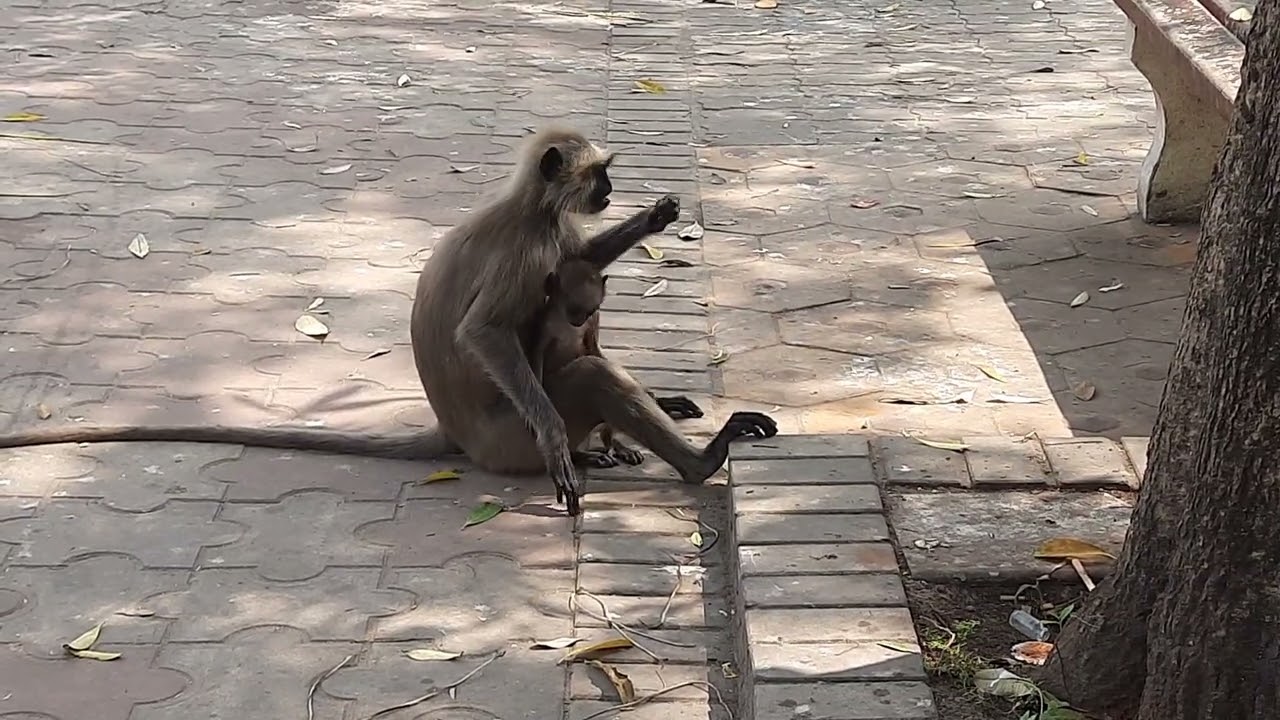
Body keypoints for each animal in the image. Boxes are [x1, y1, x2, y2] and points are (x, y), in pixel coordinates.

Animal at [528, 257, 704, 470]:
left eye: (589, 311)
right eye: (573, 309)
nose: (578, 320)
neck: (565, 322)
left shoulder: (592, 320)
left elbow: (593, 348)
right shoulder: (545, 322)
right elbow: (538, 358)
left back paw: (615, 445)